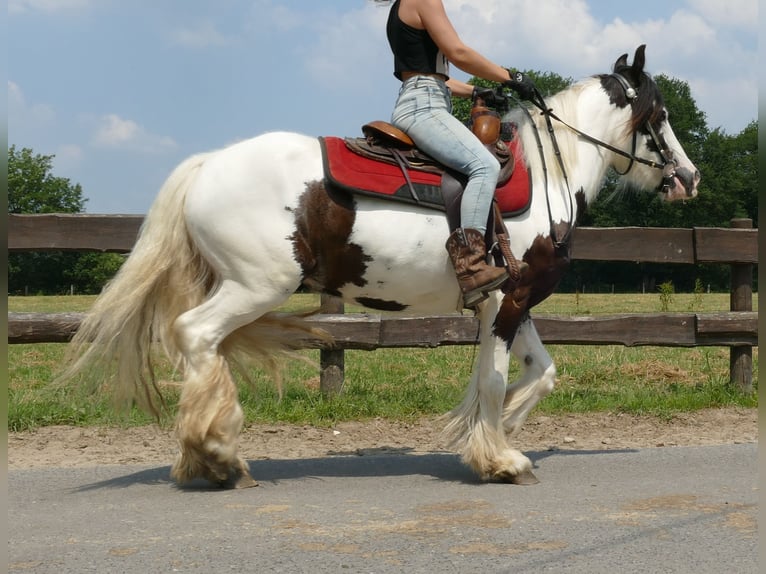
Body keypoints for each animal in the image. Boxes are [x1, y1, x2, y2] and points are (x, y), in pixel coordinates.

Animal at [63, 45, 704, 488]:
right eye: (660, 114)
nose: (690, 177)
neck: (550, 173)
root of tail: (207, 165)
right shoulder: (508, 299)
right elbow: (496, 379)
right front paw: (499, 456)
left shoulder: (509, 301)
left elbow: (538, 373)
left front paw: (490, 436)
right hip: (256, 286)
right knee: (195, 335)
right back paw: (218, 456)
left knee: (204, 347)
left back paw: (209, 453)